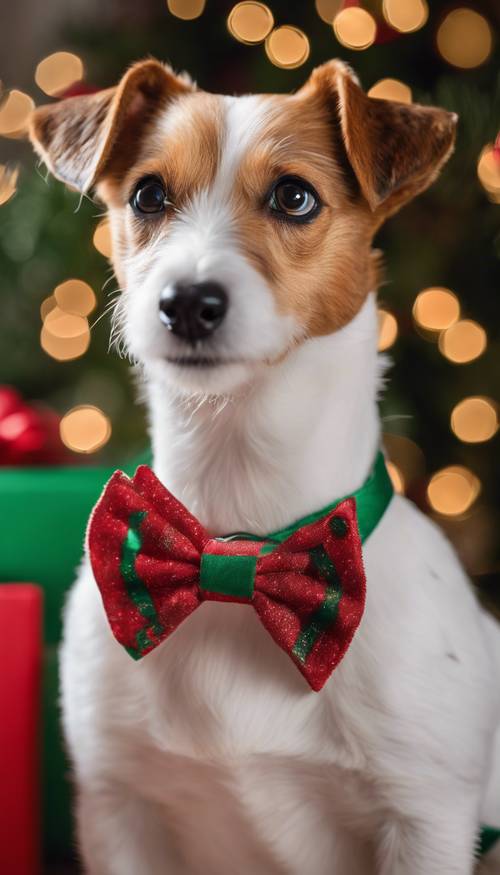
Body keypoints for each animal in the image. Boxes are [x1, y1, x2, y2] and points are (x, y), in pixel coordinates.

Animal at [30, 58, 500, 872]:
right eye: (148, 194)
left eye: (294, 196)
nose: (187, 302)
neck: (242, 541)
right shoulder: (119, 806)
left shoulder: (428, 819)